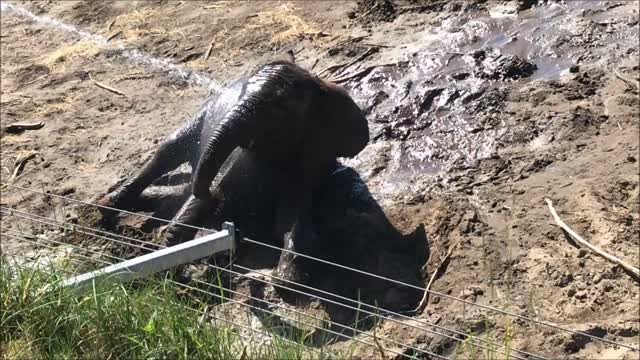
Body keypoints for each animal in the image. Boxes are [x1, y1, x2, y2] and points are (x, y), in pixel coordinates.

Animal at [99, 58, 370, 284]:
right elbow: (195, 204)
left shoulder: (306, 167)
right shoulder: (234, 161)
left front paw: (286, 277)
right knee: (167, 152)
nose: (213, 198)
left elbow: (288, 222)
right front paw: (168, 267)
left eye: (279, 109)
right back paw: (107, 205)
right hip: (202, 114)